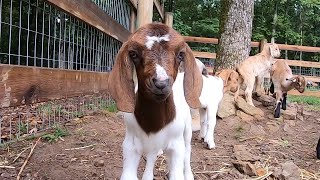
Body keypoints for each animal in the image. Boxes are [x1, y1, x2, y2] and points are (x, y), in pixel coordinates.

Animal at [108, 22, 202, 180]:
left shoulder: (176, 145)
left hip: (187, 130)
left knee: (187, 149)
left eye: (180, 55)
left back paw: (189, 174)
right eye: (133, 54)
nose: (161, 83)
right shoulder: (130, 145)